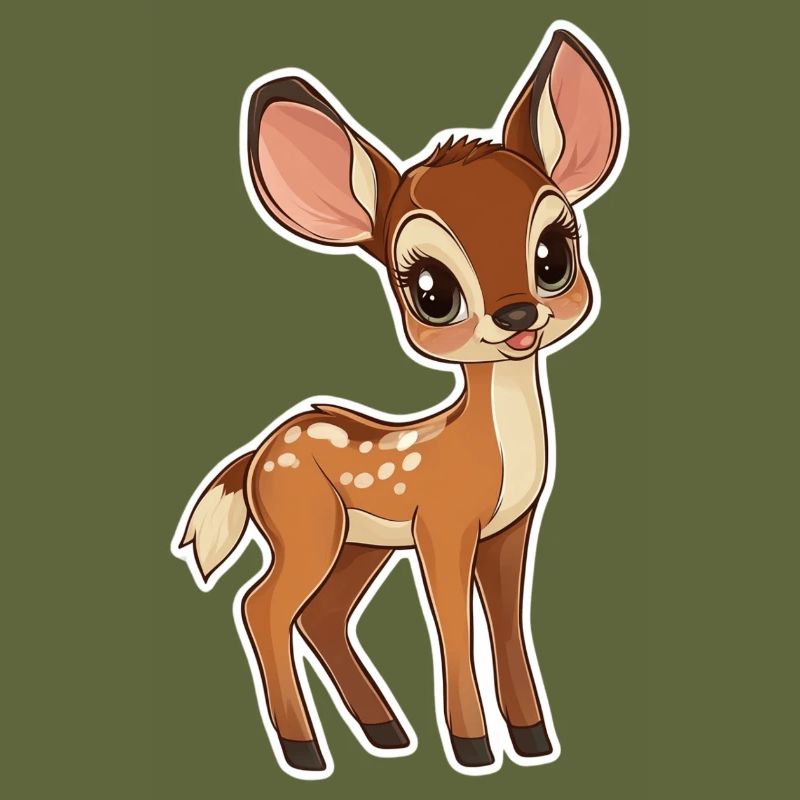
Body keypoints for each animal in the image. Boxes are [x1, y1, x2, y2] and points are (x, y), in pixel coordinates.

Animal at [174, 23, 626, 779]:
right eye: (431, 290)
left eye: (553, 254)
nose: (516, 316)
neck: (491, 448)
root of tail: (256, 455)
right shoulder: (443, 525)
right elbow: (452, 625)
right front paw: (473, 748)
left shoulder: (509, 531)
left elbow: (507, 625)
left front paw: (533, 741)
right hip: (308, 528)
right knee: (262, 607)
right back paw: (306, 751)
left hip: (358, 544)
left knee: (321, 615)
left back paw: (385, 732)